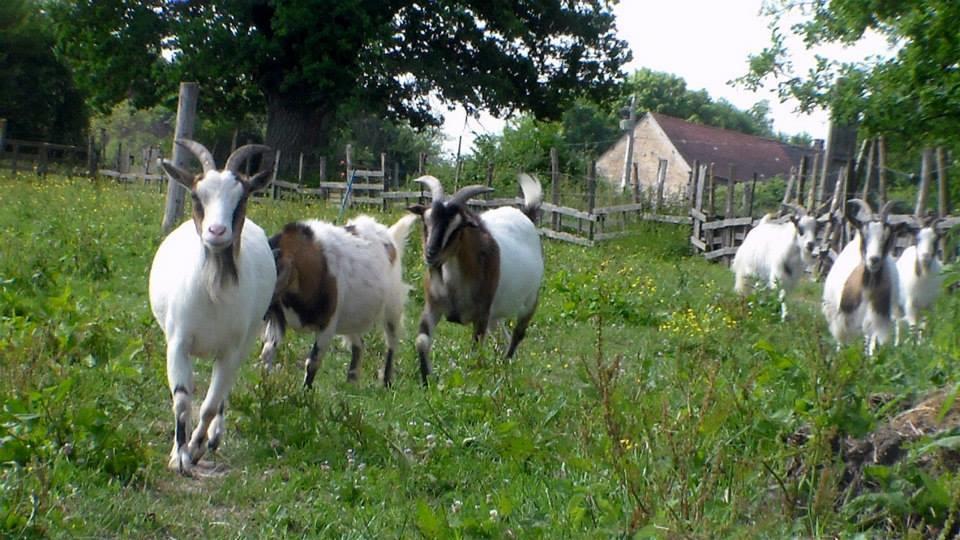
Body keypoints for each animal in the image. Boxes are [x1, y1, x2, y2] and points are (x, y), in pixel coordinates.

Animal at [150, 138, 276, 472]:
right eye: (197, 195)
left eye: (242, 196)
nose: (217, 232)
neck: (213, 290)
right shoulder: (178, 341)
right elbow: (182, 400)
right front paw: (178, 456)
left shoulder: (230, 349)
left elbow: (209, 404)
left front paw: (196, 447)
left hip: (246, 340)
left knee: (222, 394)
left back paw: (214, 438)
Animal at [256, 213, 418, 386]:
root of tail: (389, 235)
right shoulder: (279, 317)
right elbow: (267, 352)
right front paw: (265, 383)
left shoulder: (328, 324)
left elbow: (313, 362)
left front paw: (305, 390)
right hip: (350, 319)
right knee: (359, 344)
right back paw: (351, 381)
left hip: (392, 307)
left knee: (392, 341)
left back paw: (386, 382)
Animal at [404, 173, 544, 384]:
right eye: (425, 221)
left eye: (457, 228)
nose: (430, 253)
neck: (454, 284)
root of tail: (525, 215)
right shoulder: (433, 305)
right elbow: (421, 341)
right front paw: (427, 379)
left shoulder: (481, 314)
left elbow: (475, 351)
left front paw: (472, 379)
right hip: (495, 313)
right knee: (501, 334)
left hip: (530, 300)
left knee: (518, 334)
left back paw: (505, 366)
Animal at [820, 198, 904, 354]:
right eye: (864, 235)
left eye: (887, 238)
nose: (874, 259)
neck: (867, 287)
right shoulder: (844, 316)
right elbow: (842, 341)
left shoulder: (878, 316)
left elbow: (872, 343)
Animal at [892, 214, 944, 344]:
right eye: (918, 238)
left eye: (935, 240)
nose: (925, 256)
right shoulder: (910, 305)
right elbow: (913, 328)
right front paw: (913, 346)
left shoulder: (930, 305)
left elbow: (924, 327)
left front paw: (922, 345)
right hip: (898, 305)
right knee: (898, 324)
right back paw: (897, 343)